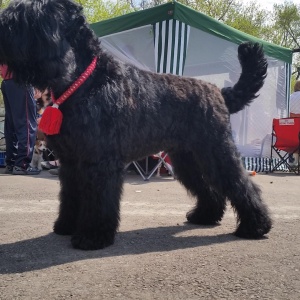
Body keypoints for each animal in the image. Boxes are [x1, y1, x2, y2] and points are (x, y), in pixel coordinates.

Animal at [0, 0, 272, 250]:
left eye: (30, 16)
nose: (4, 28)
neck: (86, 82)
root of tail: (220, 92)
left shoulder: (99, 161)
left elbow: (98, 200)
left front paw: (92, 236)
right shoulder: (71, 162)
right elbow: (71, 195)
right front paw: (66, 225)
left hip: (216, 152)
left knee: (241, 185)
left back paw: (255, 226)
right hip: (187, 159)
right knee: (208, 189)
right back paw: (205, 216)